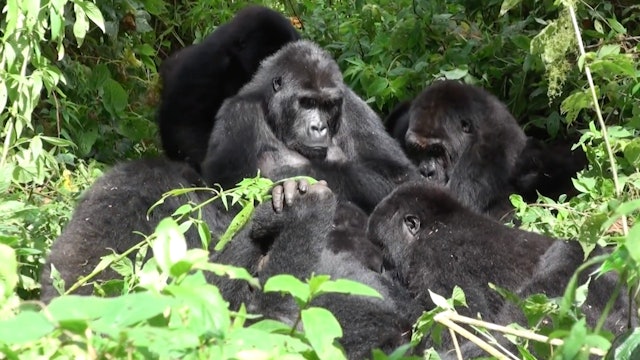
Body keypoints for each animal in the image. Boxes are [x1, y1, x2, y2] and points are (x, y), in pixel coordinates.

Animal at [201, 39, 420, 214]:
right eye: (308, 103)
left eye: (328, 105)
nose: (319, 127)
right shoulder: (237, 114)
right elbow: (228, 192)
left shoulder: (353, 105)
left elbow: (402, 178)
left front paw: (294, 179)